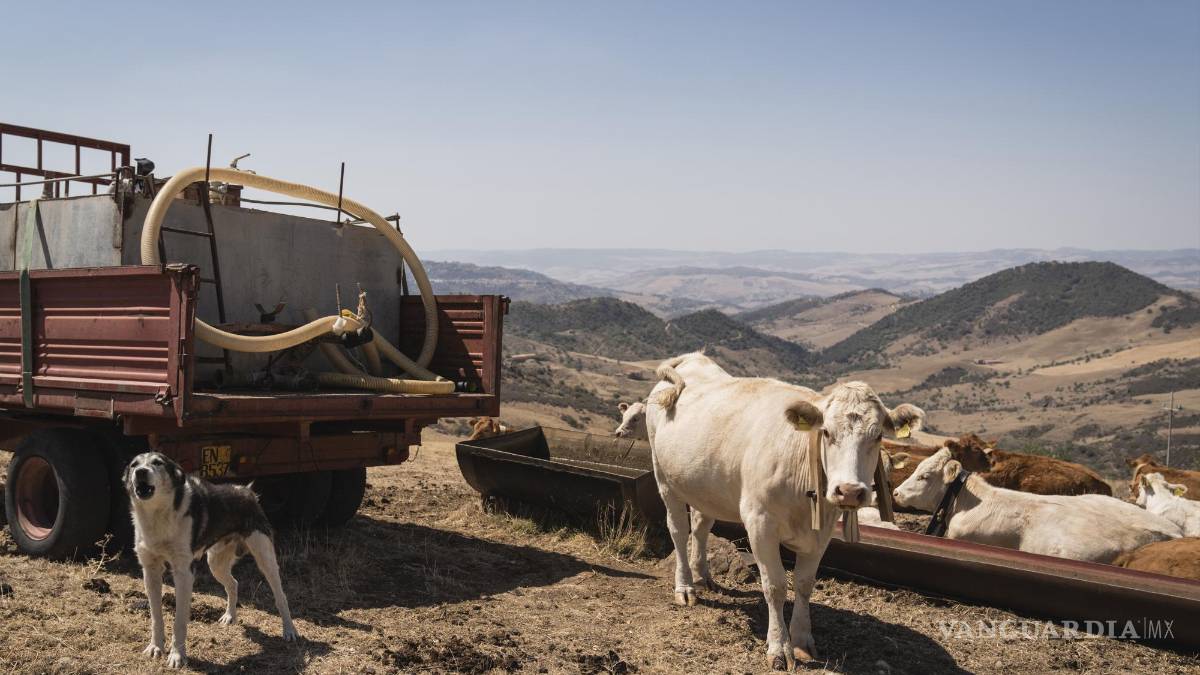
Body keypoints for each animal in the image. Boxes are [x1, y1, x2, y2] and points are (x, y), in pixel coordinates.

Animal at [124, 452, 298, 668]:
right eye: (134, 465)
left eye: (157, 463)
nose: (141, 472)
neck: (157, 515)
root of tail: (247, 491)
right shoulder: (150, 571)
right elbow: (156, 617)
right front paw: (156, 647)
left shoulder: (183, 573)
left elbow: (179, 621)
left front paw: (177, 656)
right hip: (216, 563)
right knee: (233, 583)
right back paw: (230, 616)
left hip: (265, 558)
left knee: (280, 596)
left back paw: (289, 630)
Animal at [646, 352, 925, 669]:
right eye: (826, 432)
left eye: (878, 436)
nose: (850, 491)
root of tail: (692, 358)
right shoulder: (760, 523)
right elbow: (776, 586)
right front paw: (779, 647)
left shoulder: (823, 531)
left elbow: (804, 584)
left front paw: (802, 640)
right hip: (664, 478)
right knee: (680, 531)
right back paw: (685, 587)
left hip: (705, 486)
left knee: (702, 526)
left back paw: (703, 576)